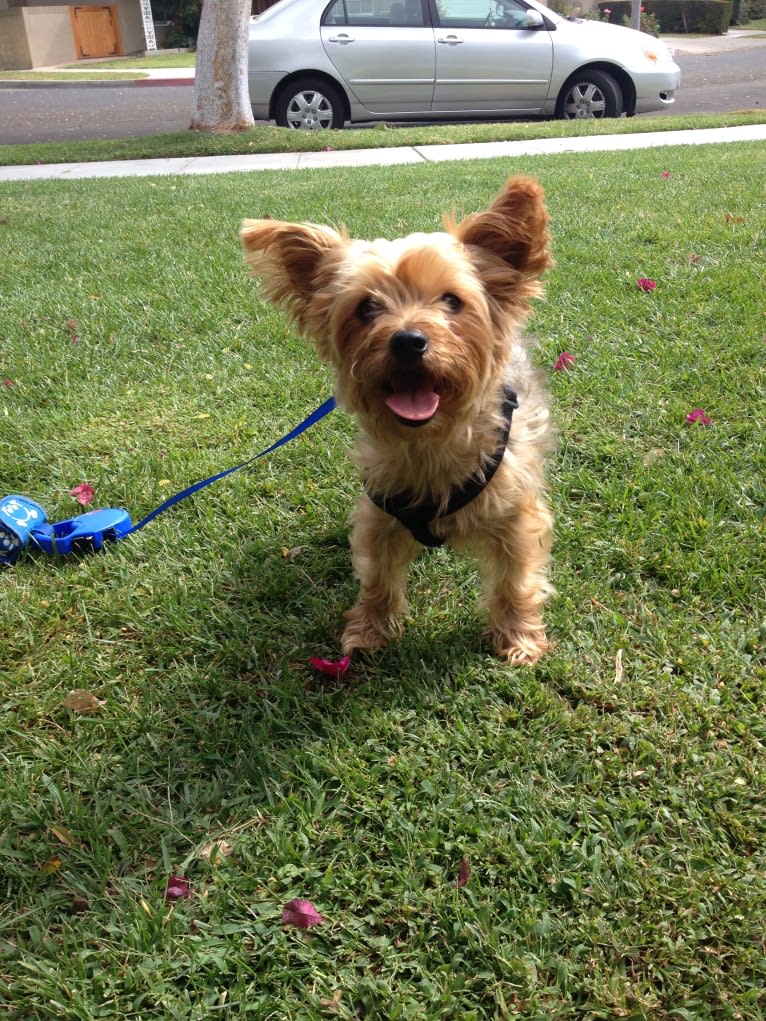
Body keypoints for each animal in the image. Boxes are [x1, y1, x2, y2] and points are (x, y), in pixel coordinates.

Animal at [243, 176, 555, 665]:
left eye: (452, 301)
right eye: (367, 308)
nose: (408, 340)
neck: (430, 441)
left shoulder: (515, 518)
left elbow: (515, 580)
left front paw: (517, 637)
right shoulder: (379, 514)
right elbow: (377, 578)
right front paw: (369, 631)